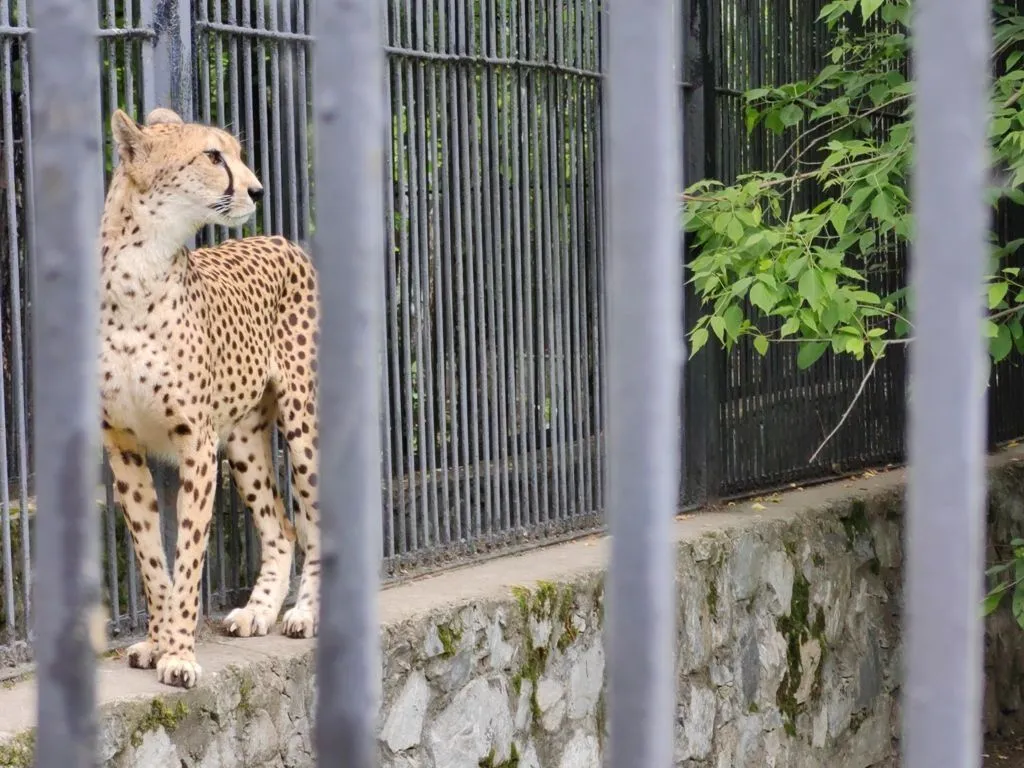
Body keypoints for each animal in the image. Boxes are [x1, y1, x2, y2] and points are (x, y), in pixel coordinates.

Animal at [96, 105, 319, 688]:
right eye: (213, 156)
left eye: (236, 153)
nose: (258, 189)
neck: (140, 269)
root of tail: (279, 239)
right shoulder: (122, 444)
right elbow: (153, 558)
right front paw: (156, 643)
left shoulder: (195, 443)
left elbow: (189, 554)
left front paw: (178, 653)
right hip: (242, 439)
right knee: (281, 526)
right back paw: (259, 611)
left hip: (302, 423)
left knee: (314, 520)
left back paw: (304, 613)